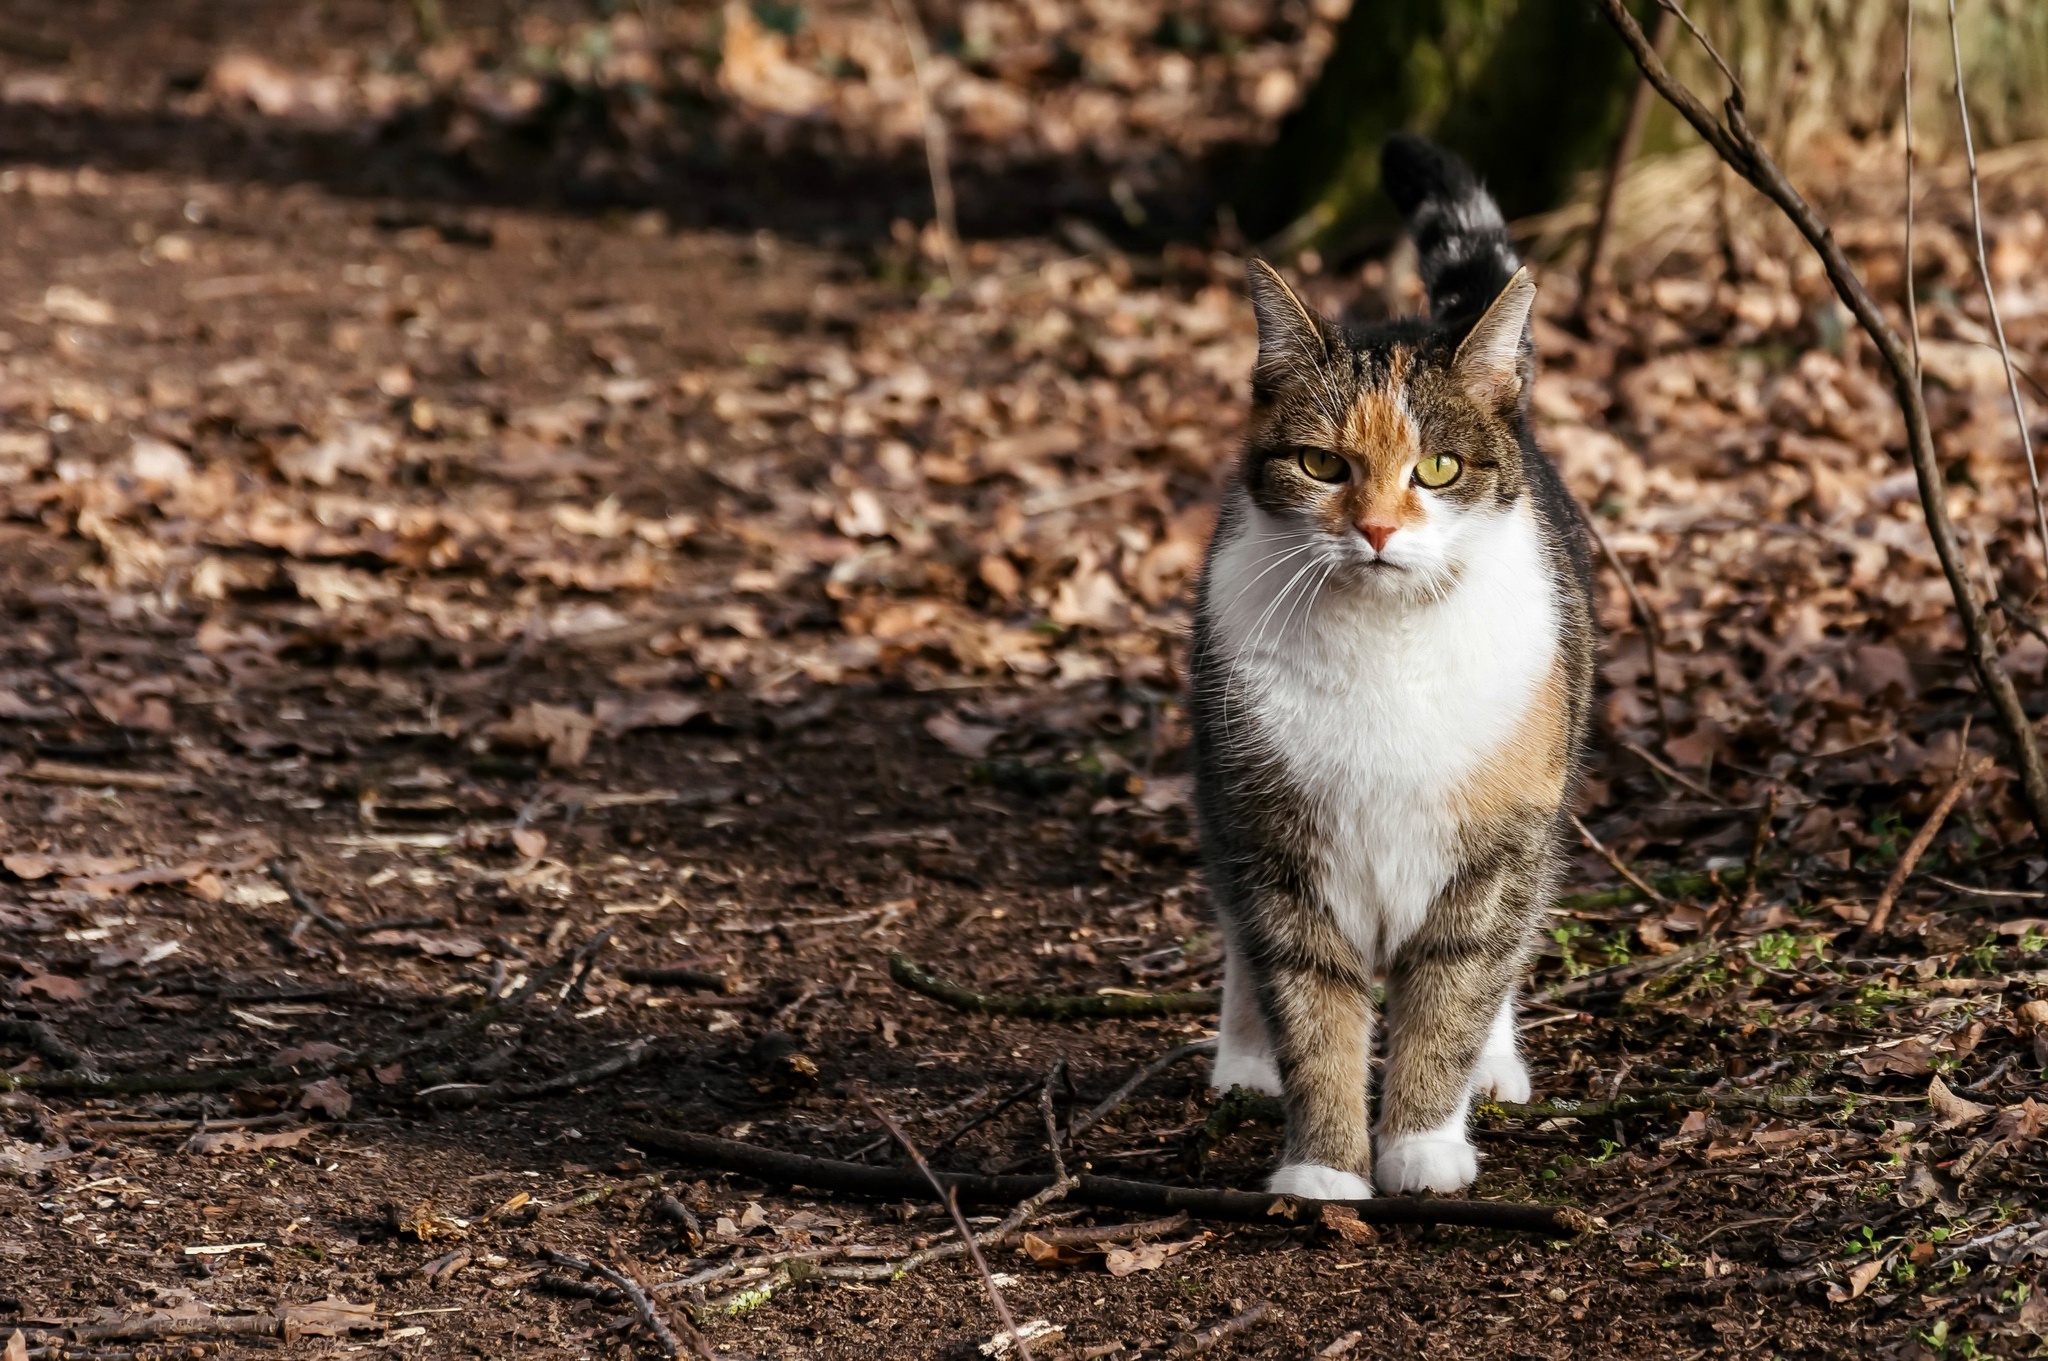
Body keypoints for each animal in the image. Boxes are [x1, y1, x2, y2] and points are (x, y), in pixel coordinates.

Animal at [1187, 135, 1597, 1203]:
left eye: (1439, 469)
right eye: (1323, 466)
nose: (1375, 530)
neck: (1386, 645)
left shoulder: (1498, 840)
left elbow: (1453, 989)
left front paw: (1421, 1145)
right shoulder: (1276, 845)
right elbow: (1312, 1006)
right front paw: (1325, 1168)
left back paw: (1494, 1064)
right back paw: (1241, 1060)